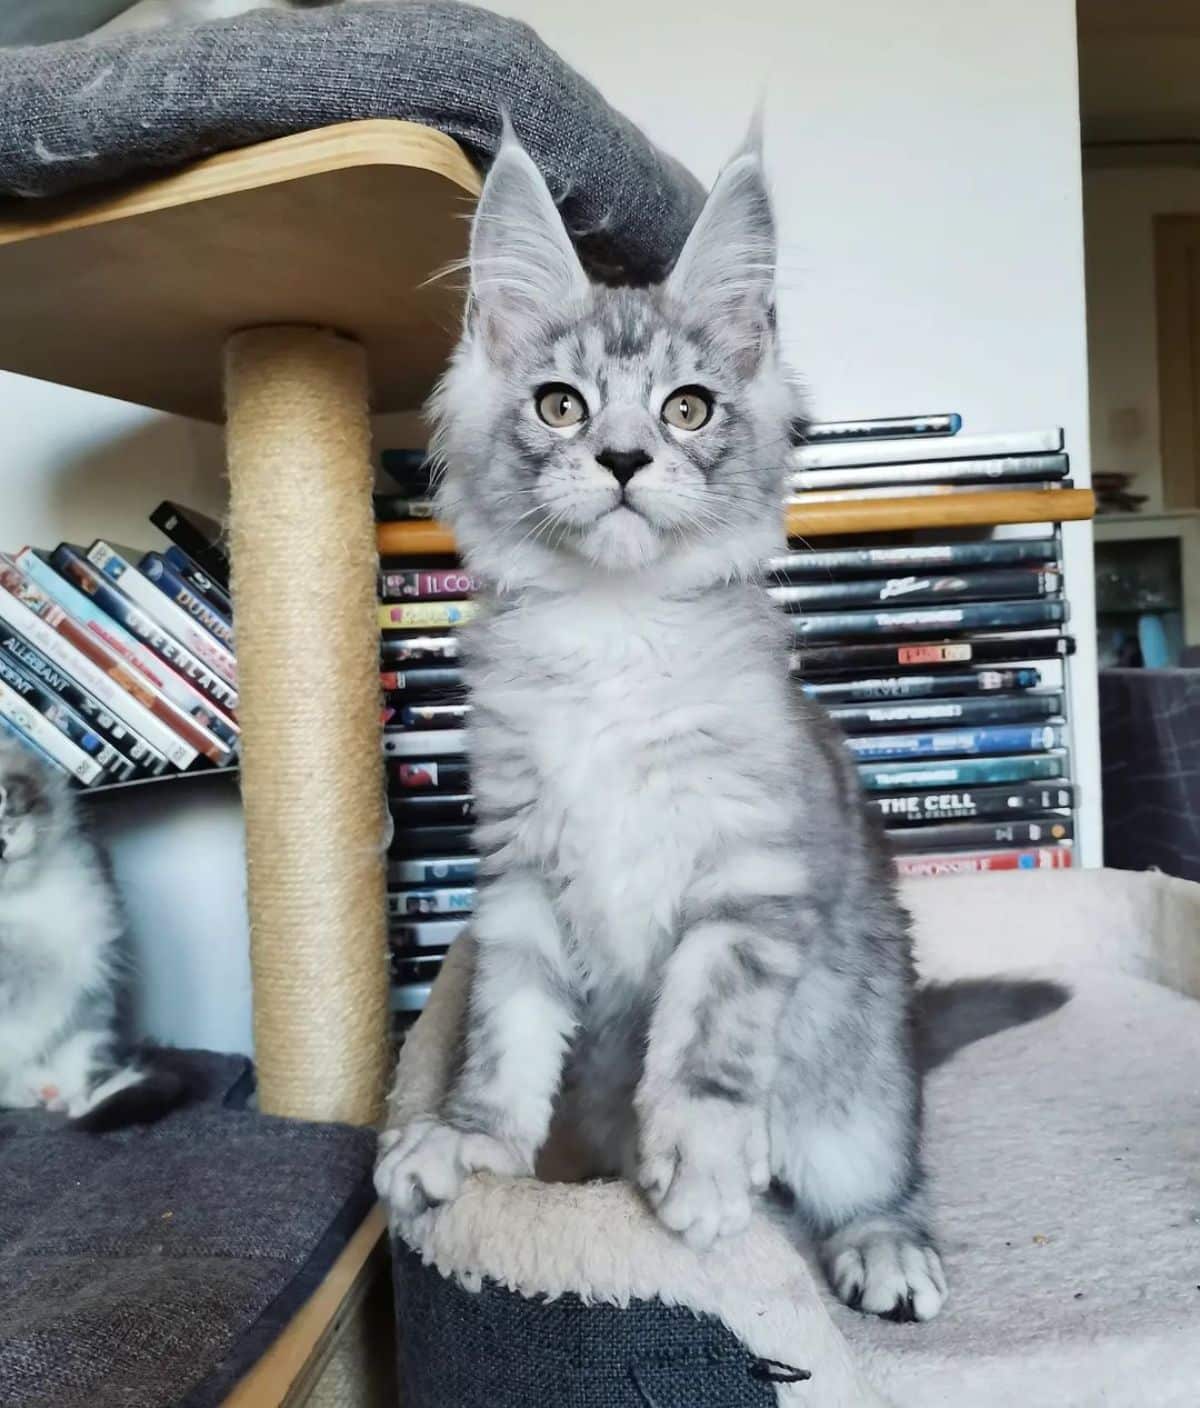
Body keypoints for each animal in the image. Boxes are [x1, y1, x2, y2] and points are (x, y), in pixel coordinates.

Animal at [377, 123, 1070, 1317]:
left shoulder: (750, 874)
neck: (614, 635)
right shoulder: (518, 878)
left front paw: (699, 1164)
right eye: (561, 405)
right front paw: (469, 1143)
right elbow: (504, 1034)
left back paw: (881, 1243)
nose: (621, 459)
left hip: (852, 1085)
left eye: (686, 408)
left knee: (876, 1172)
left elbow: (708, 1031)